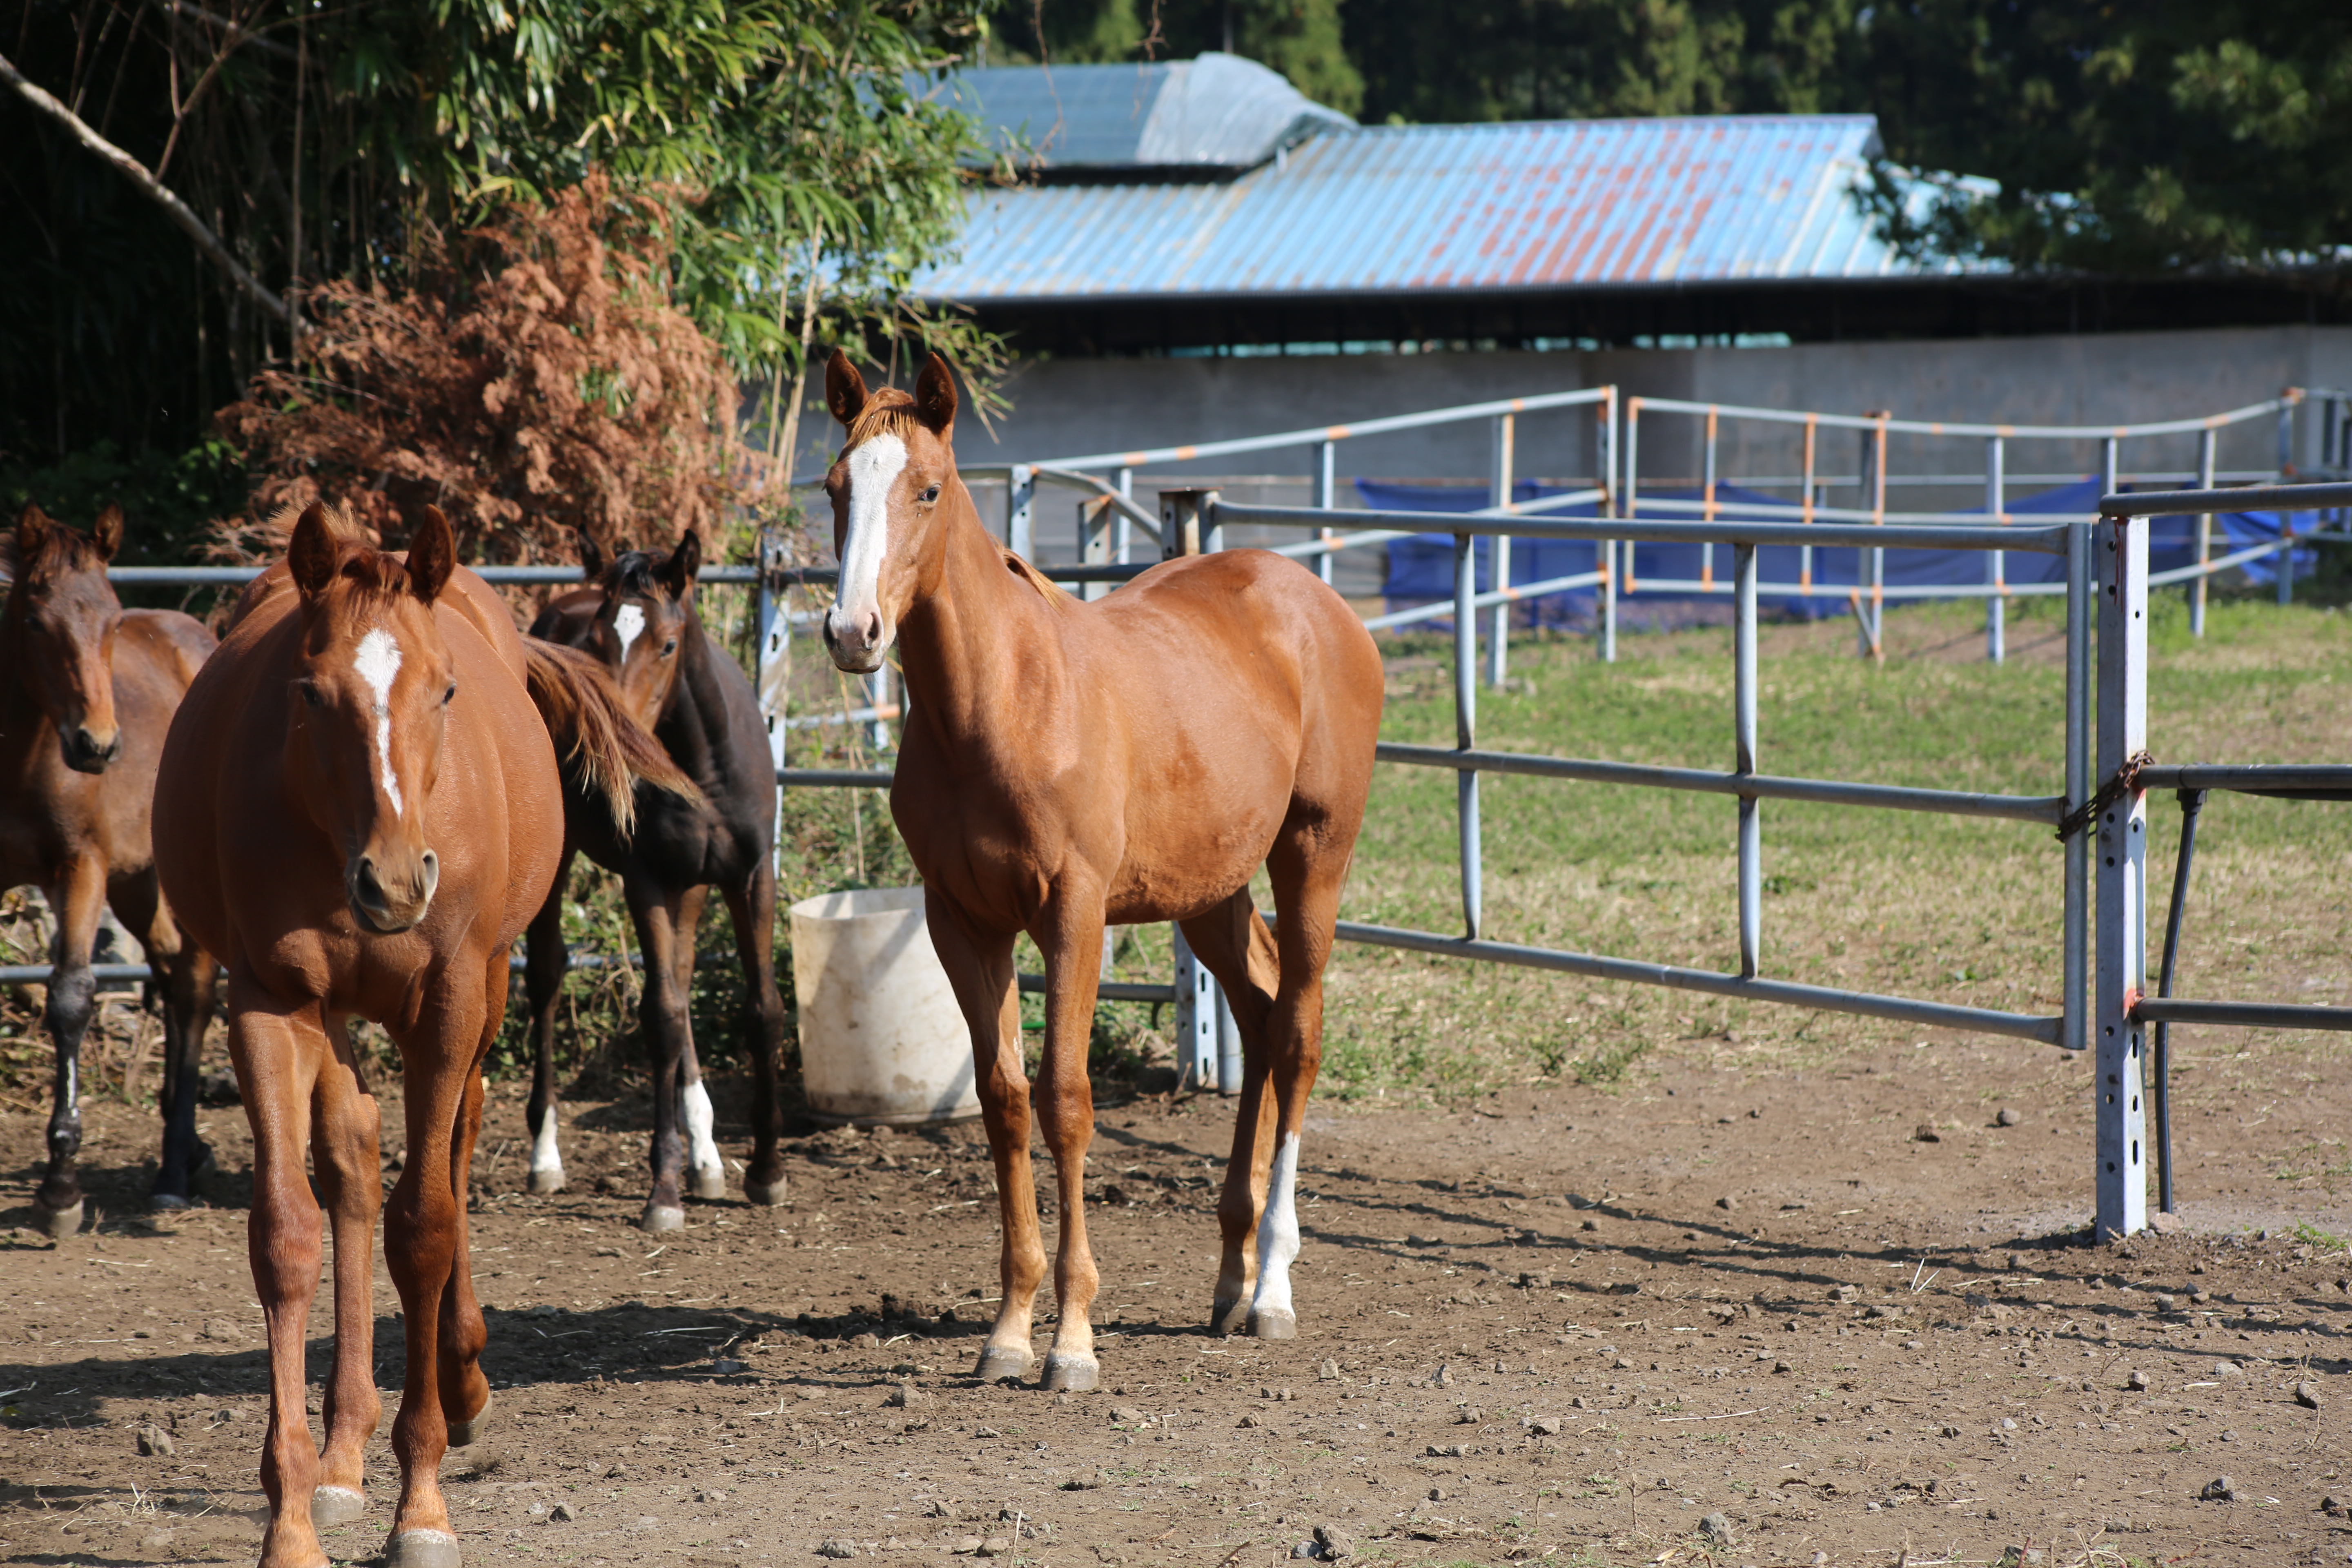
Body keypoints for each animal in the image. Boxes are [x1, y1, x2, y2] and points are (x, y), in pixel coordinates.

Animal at [155, 505, 569, 1568]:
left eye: (446, 689)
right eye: (310, 691)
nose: (393, 880)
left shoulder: (452, 998)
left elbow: (425, 1227)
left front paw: (422, 1504)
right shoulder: (269, 1001)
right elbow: (287, 1233)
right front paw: (293, 1517)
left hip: (488, 988)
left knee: (454, 1143)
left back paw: (460, 1380)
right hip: (333, 1013)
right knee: (351, 1161)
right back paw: (343, 1453)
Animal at [823, 352, 1383, 1382]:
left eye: (927, 489)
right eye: (837, 487)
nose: (853, 632)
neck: (999, 704)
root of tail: (1315, 600)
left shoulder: (1071, 915)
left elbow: (1067, 1099)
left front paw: (1073, 1339)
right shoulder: (962, 921)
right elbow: (1004, 1100)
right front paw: (1008, 1331)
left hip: (1312, 856)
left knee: (1296, 1032)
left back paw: (1273, 1288)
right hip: (1209, 890)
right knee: (1258, 1010)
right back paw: (1230, 1277)